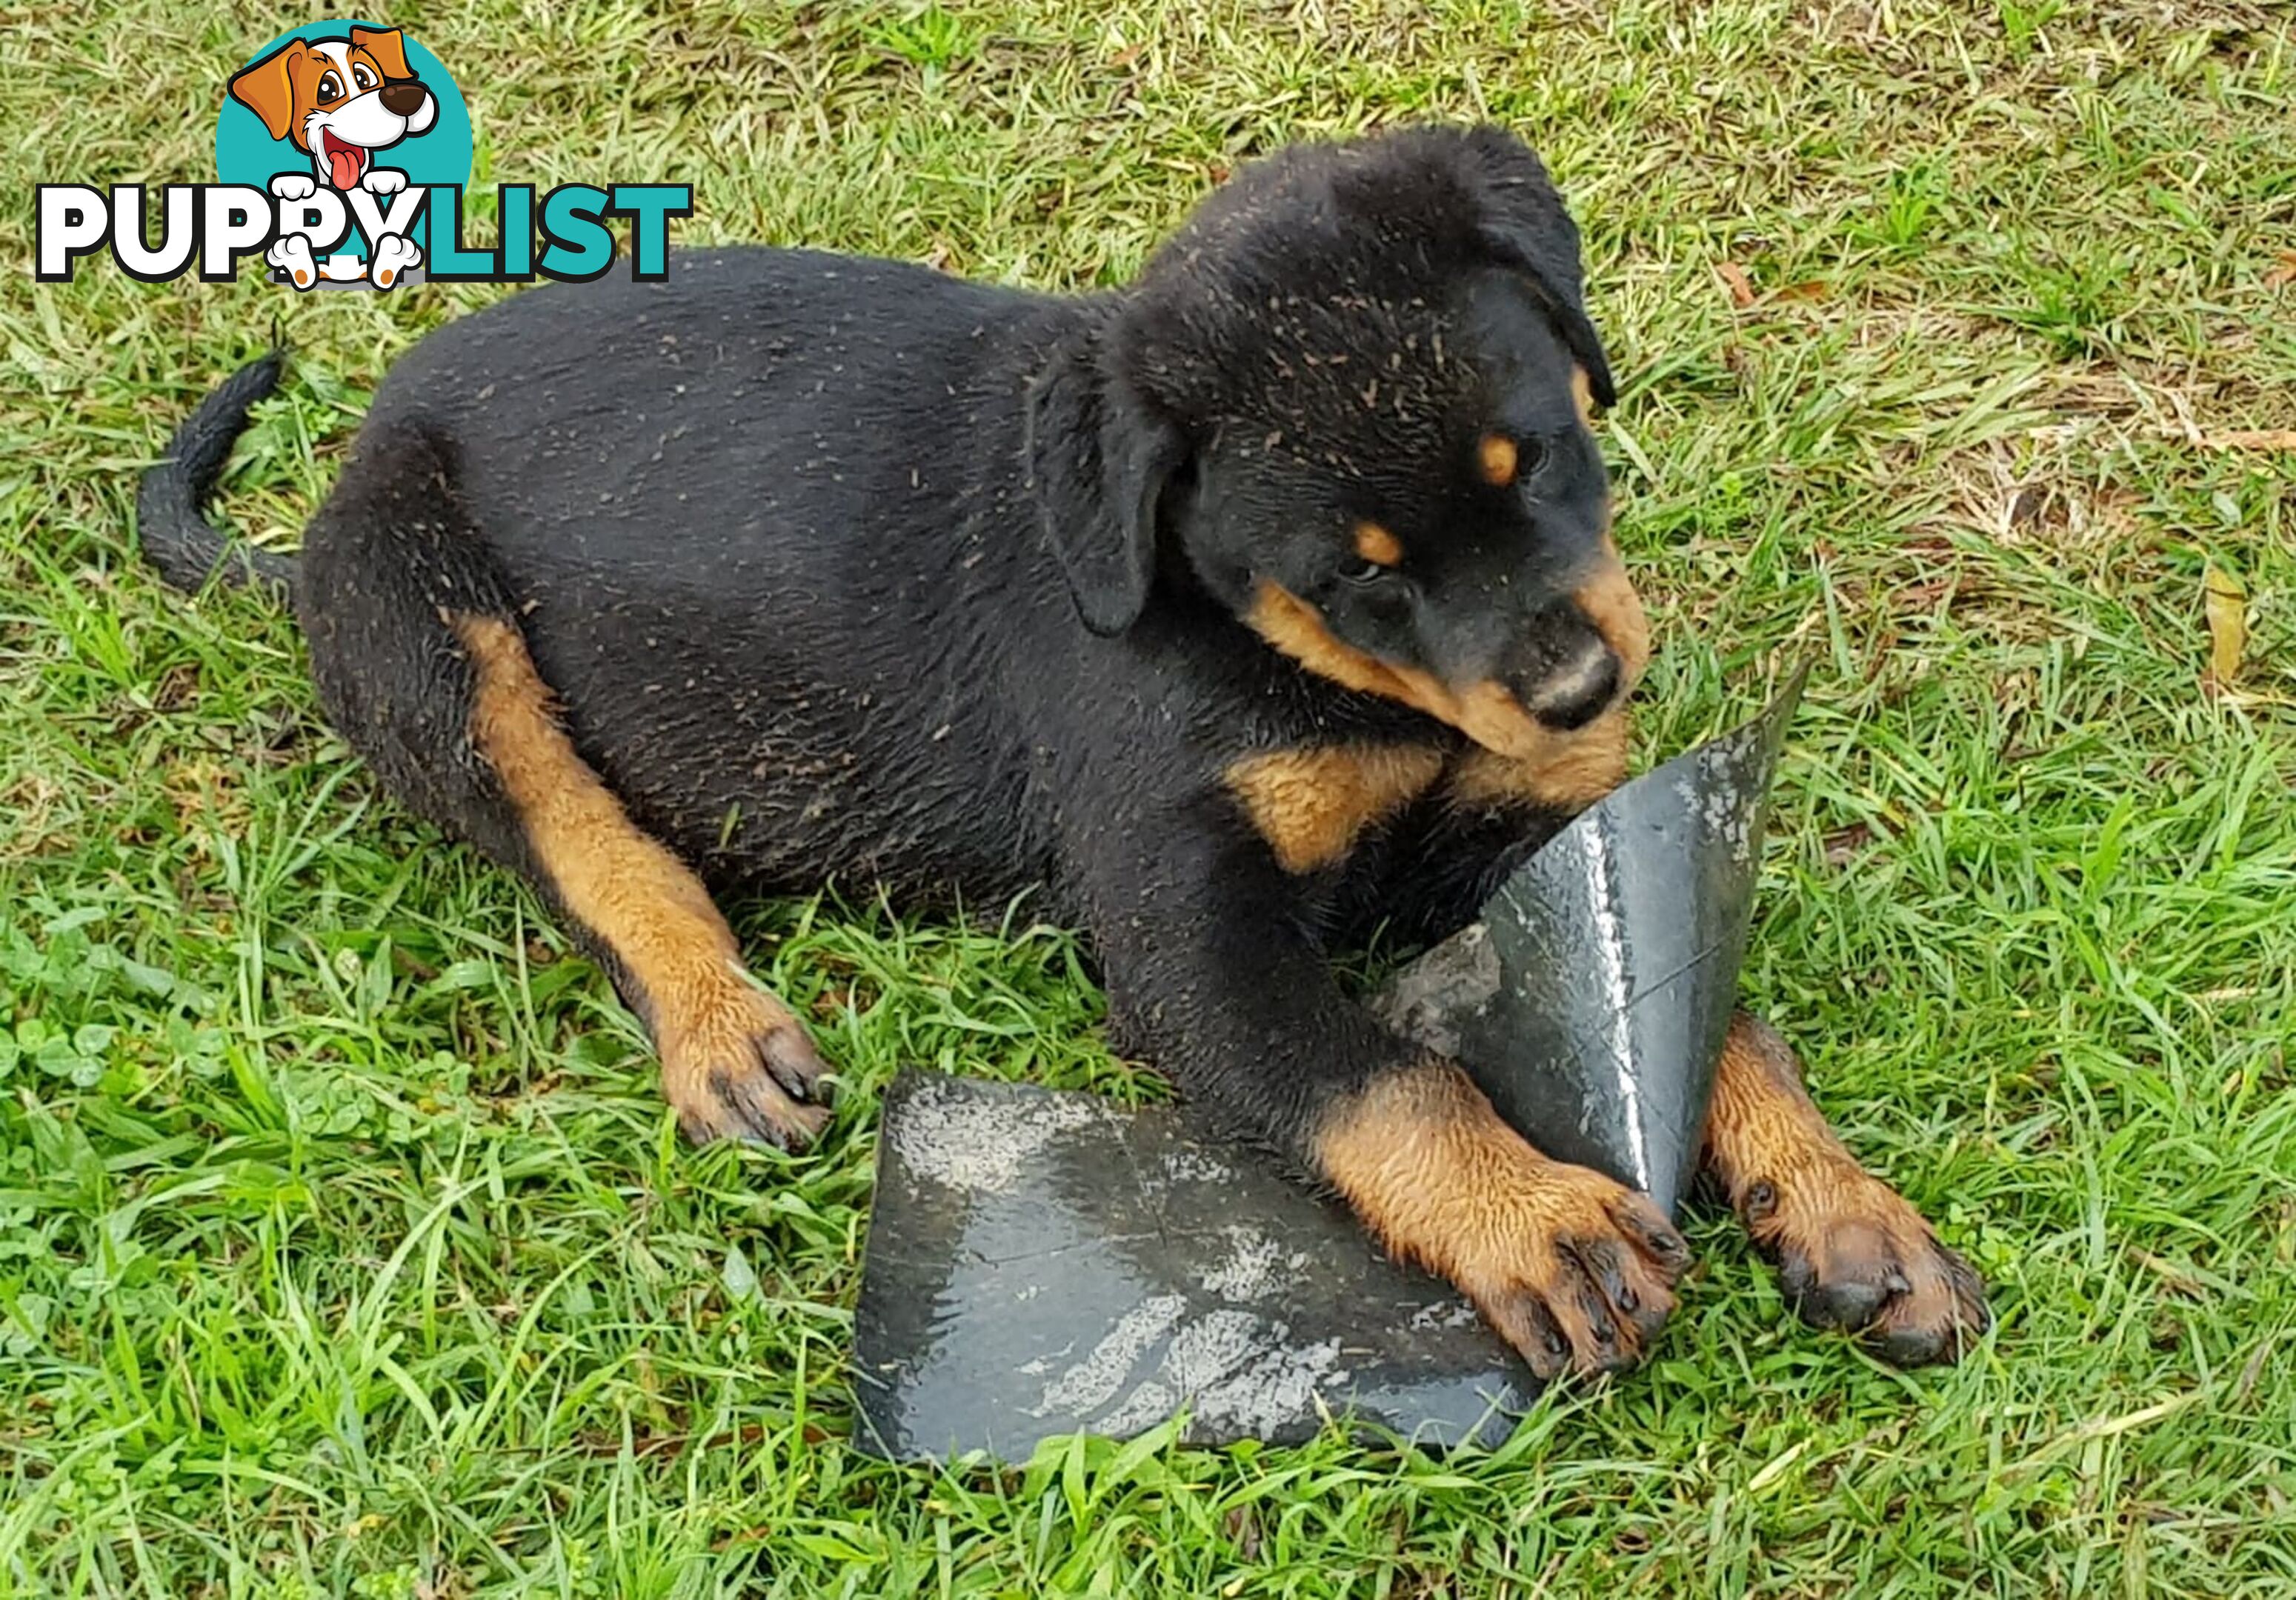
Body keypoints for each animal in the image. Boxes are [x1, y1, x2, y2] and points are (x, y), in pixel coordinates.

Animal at [139, 124, 1992, 1377]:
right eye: (1357, 581)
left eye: (1534, 456)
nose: (1578, 694)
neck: (1276, 654)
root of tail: (334, 488)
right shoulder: (1181, 921)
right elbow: (1373, 1074)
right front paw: (1531, 1218)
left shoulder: (1527, 825)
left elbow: (1711, 1004)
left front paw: (1845, 1210)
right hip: (427, 623)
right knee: (586, 842)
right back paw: (722, 1027)